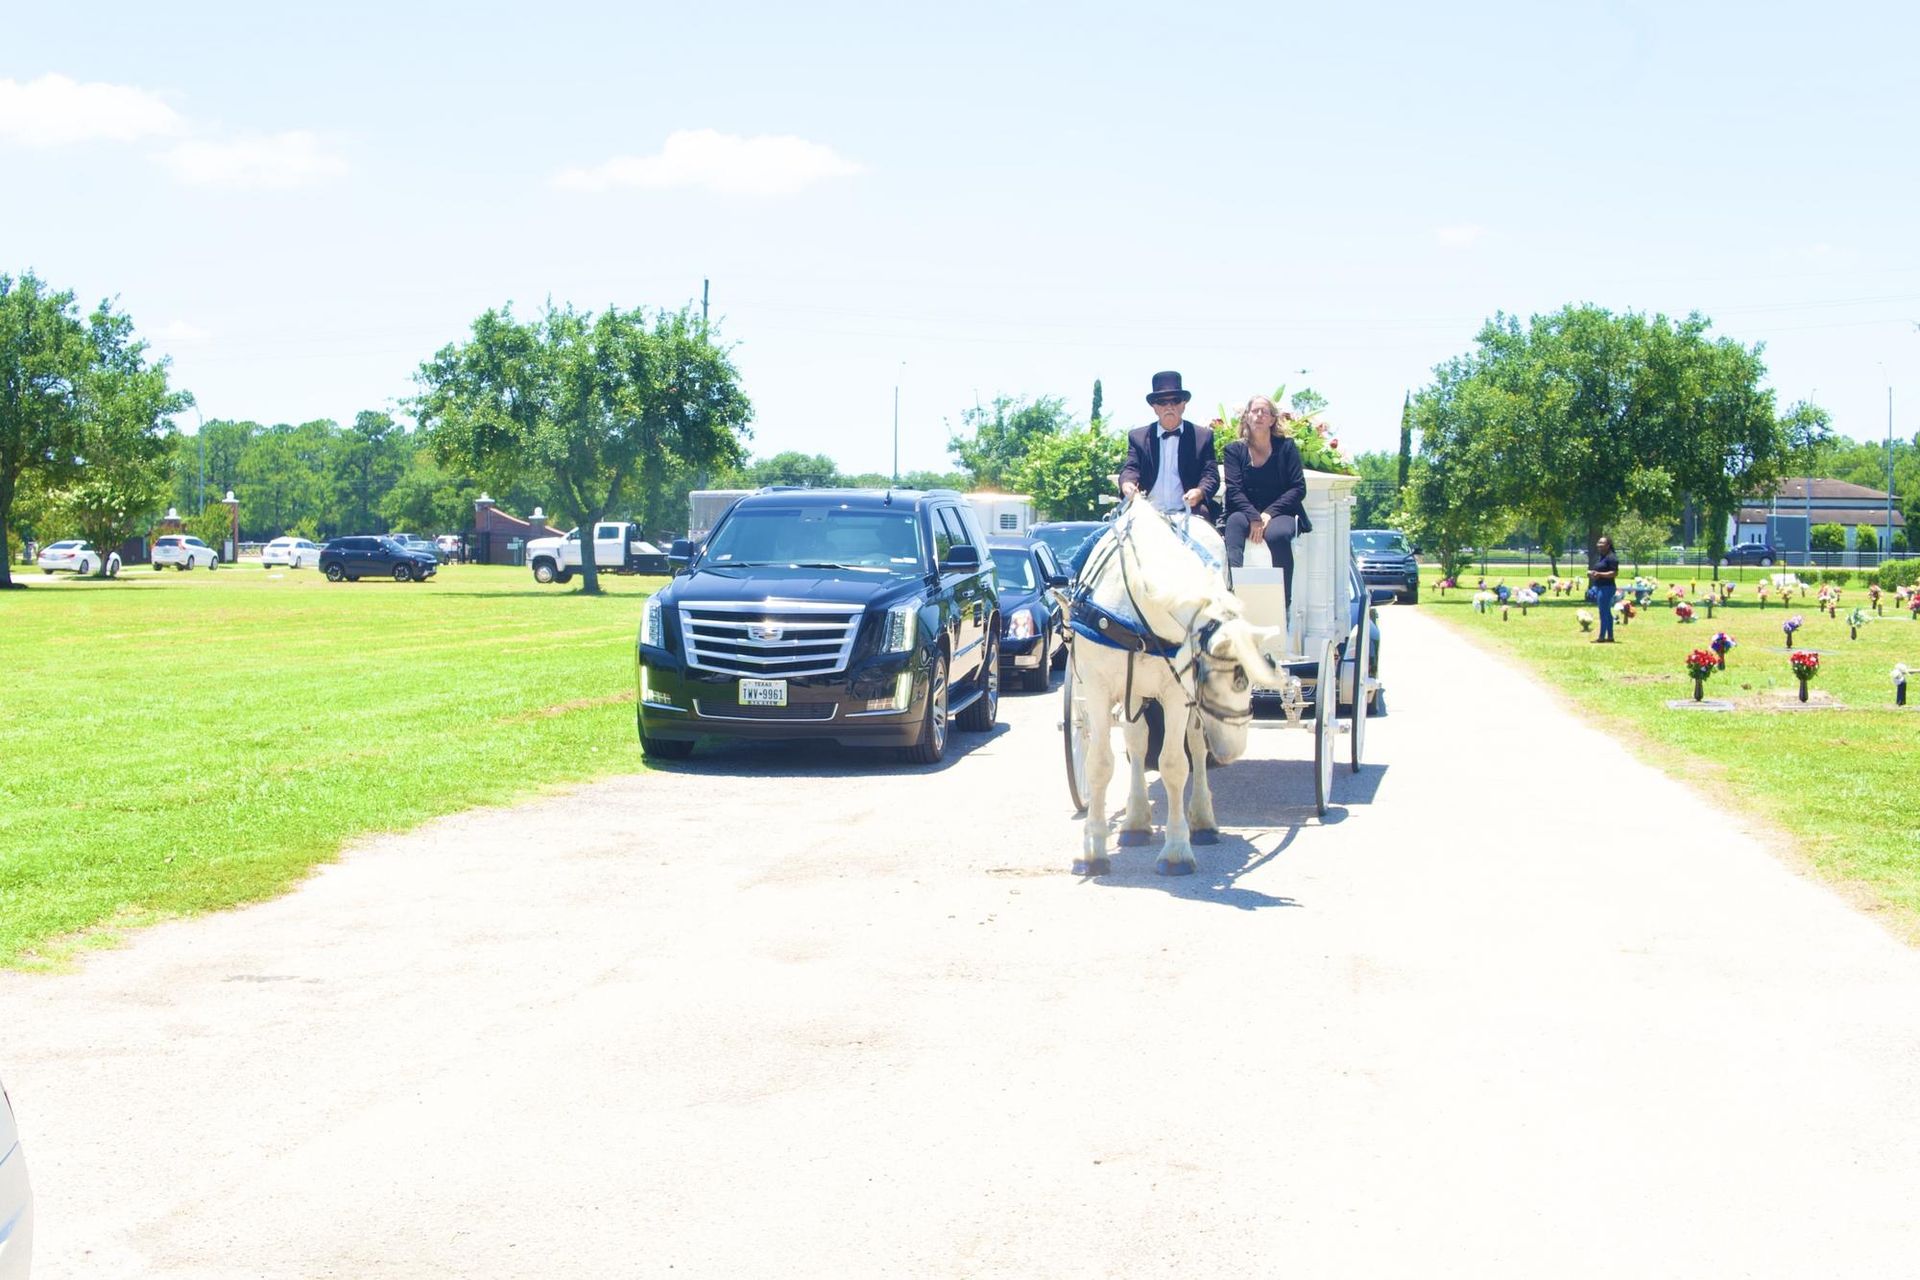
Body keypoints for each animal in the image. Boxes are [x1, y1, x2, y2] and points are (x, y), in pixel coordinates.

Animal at [1067, 496, 1289, 877]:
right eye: (1241, 679)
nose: (1233, 753)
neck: (1137, 603)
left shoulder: (1176, 693)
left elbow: (1174, 765)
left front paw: (1176, 851)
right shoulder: (1096, 687)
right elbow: (1100, 763)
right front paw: (1093, 851)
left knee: (1195, 748)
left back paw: (1202, 821)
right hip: (1136, 689)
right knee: (1137, 742)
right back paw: (1136, 822)